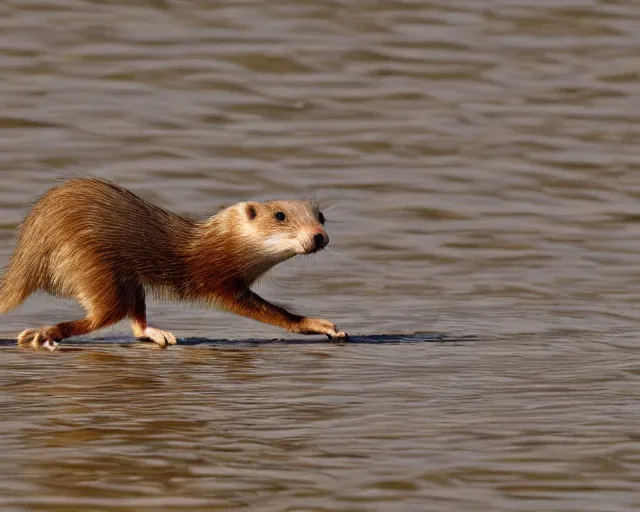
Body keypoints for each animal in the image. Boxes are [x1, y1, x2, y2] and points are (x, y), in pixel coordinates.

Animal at [0, 178, 348, 350]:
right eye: (280, 215)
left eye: (320, 216)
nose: (318, 236)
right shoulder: (222, 283)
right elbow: (278, 314)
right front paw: (315, 323)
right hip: (98, 271)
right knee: (101, 317)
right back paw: (43, 332)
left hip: (128, 280)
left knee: (135, 321)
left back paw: (157, 333)